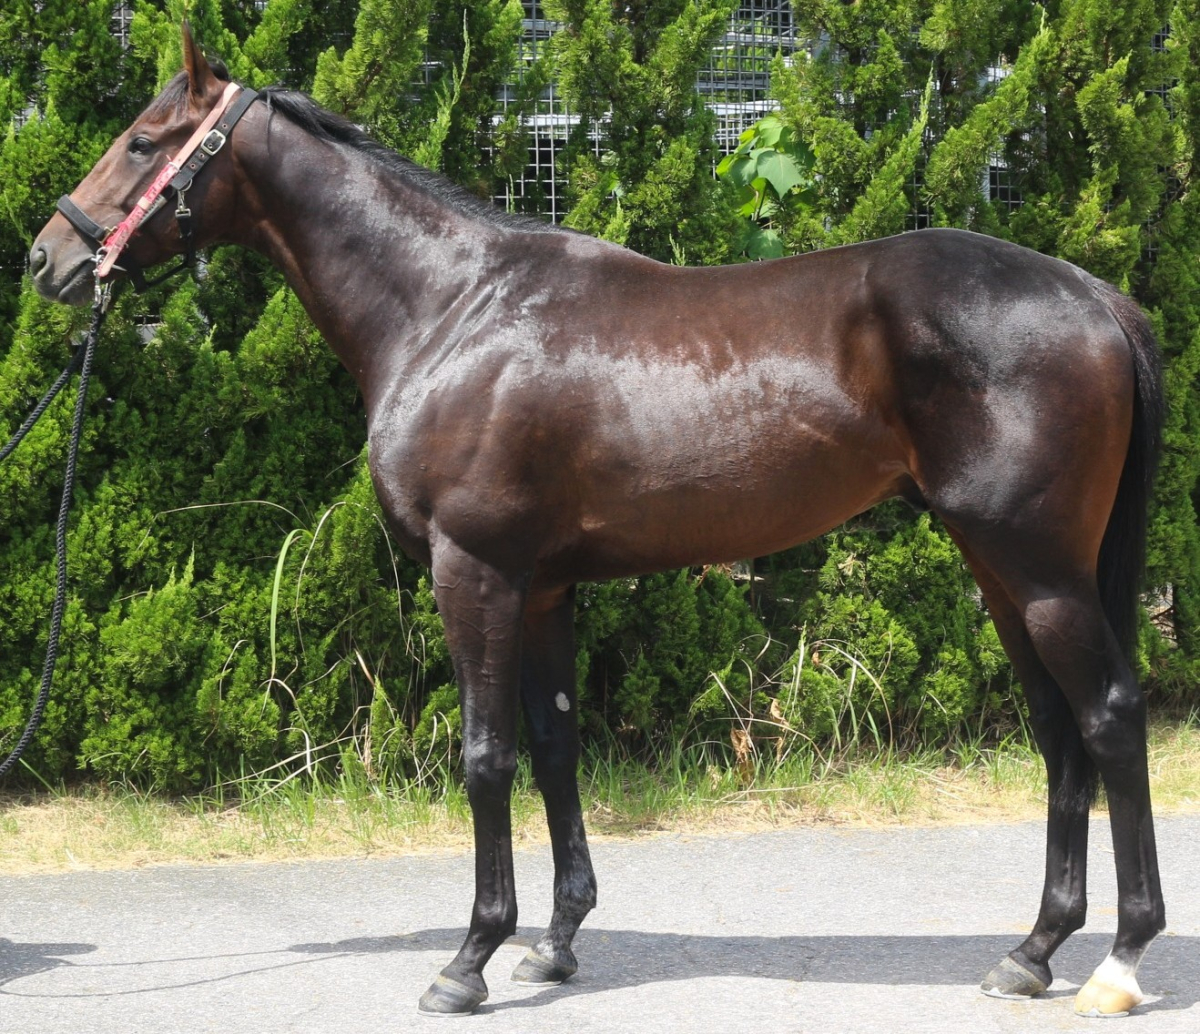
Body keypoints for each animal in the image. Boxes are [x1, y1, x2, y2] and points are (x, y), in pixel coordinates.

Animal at [29, 25, 1164, 1018]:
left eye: (144, 140)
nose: (47, 258)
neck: (454, 310)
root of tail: (1097, 296)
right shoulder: (543, 586)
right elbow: (554, 743)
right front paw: (556, 941)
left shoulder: (475, 570)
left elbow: (487, 755)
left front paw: (469, 959)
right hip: (999, 566)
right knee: (1059, 728)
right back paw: (1031, 952)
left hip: (1041, 568)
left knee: (1110, 715)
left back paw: (1118, 959)